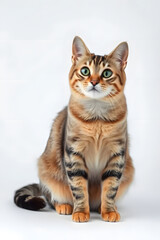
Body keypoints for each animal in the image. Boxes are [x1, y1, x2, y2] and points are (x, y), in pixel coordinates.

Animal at [13, 36, 134, 222]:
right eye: (85, 71)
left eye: (106, 73)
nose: (94, 82)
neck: (97, 118)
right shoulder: (73, 153)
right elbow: (78, 188)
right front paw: (81, 212)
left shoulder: (117, 154)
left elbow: (110, 188)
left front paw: (108, 211)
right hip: (47, 170)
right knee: (51, 198)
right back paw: (64, 206)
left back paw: (104, 207)